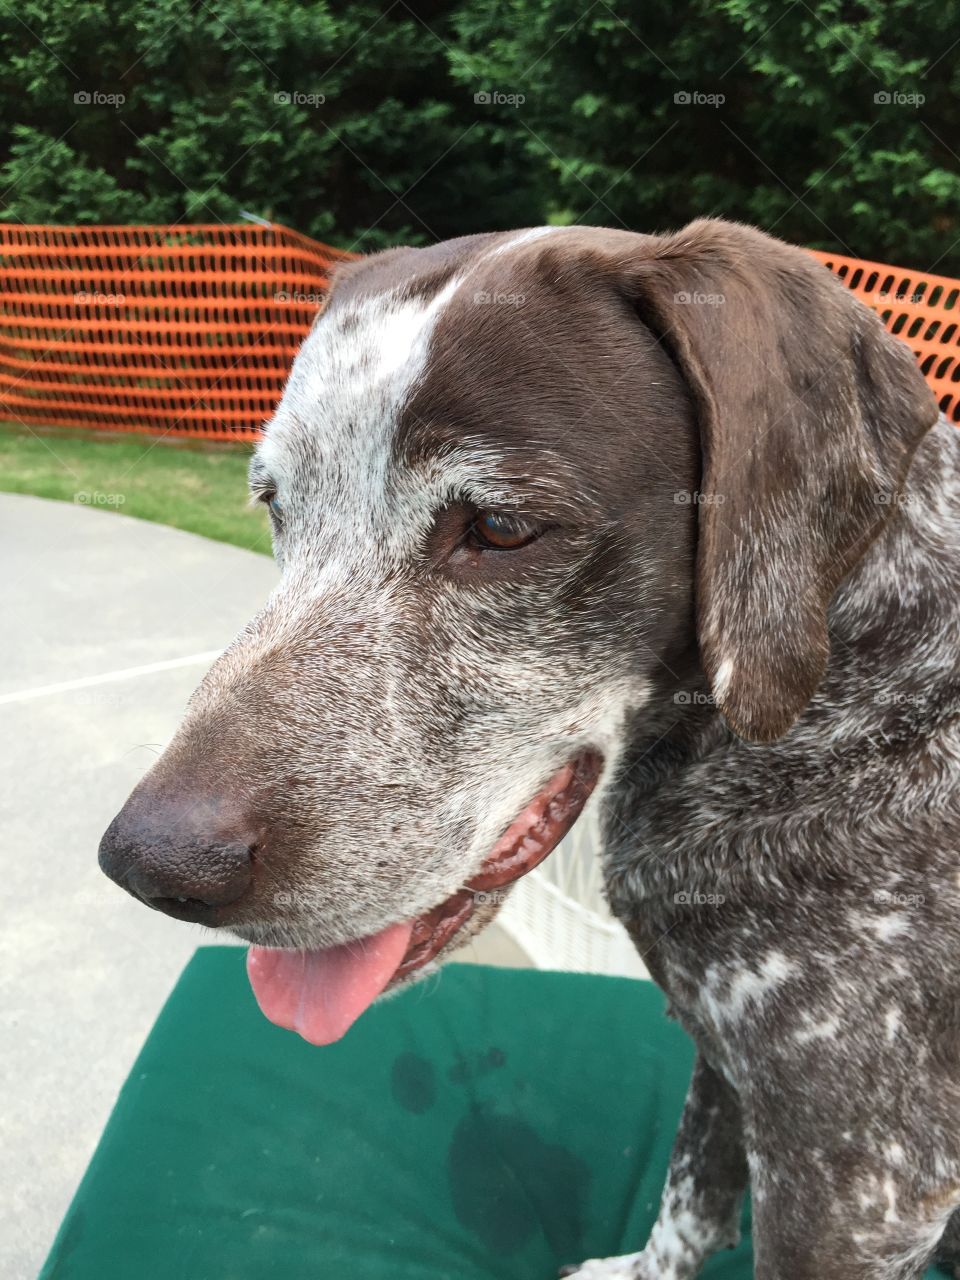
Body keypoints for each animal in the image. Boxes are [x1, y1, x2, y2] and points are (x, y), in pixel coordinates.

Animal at [99, 222, 960, 1280]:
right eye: (275, 507)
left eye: (501, 528)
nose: (153, 865)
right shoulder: (725, 1062)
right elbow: (688, 1202)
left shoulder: (854, 1186)